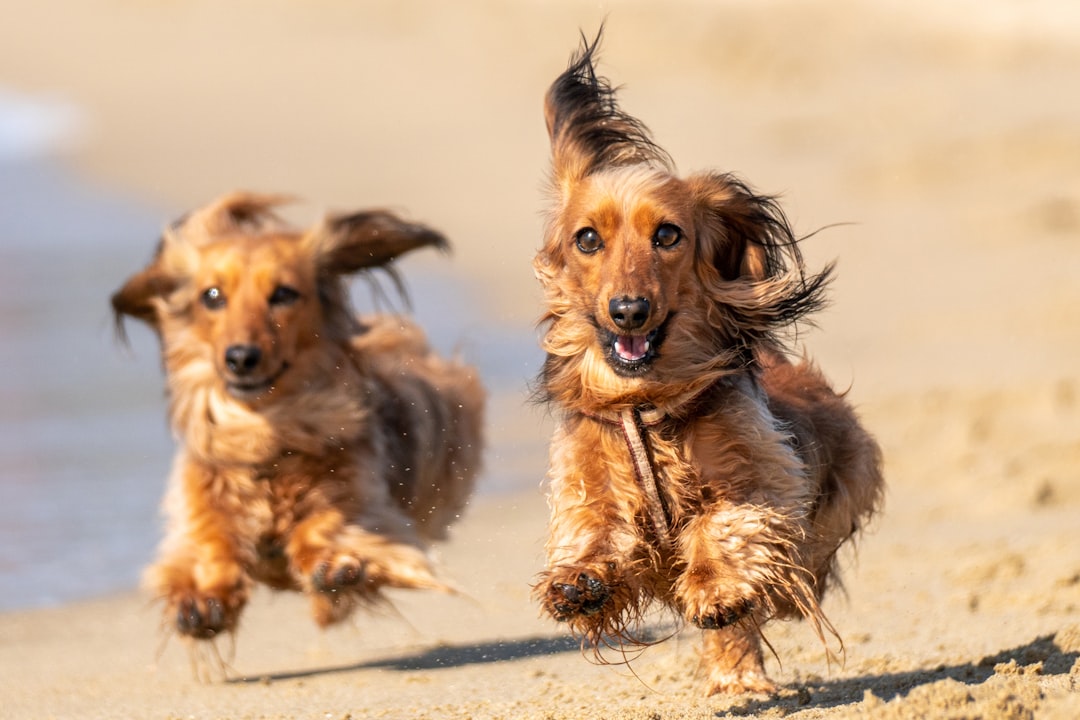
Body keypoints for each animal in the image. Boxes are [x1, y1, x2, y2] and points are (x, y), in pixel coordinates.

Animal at [111, 191, 483, 643]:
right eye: (212, 296)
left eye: (284, 294)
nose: (240, 358)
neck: (266, 436)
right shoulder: (205, 500)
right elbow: (211, 545)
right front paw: (202, 596)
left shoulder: (361, 500)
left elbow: (324, 528)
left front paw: (337, 565)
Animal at [533, 35, 885, 699]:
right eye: (587, 239)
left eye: (668, 235)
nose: (629, 311)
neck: (645, 406)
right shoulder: (590, 485)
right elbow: (596, 531)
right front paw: (580, 582)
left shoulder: (766, 486)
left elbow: (724, 525)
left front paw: (716, 587)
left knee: (774, 596)